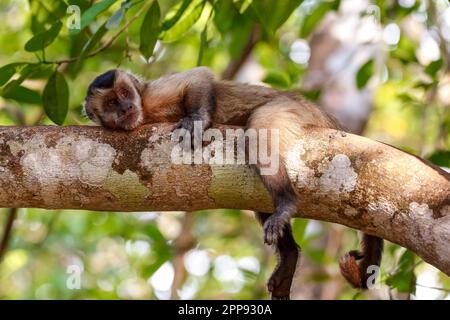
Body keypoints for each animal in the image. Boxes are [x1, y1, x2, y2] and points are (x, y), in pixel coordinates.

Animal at [83, 67, 384, 300]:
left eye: (125, 94)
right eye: (111, 104)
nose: (126, 108)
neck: (144, 113)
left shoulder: (152, 96)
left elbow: (199, 78)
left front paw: (197, 120)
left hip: (294, 109)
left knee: (261, 126)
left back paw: (286, 203)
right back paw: (289, 256)